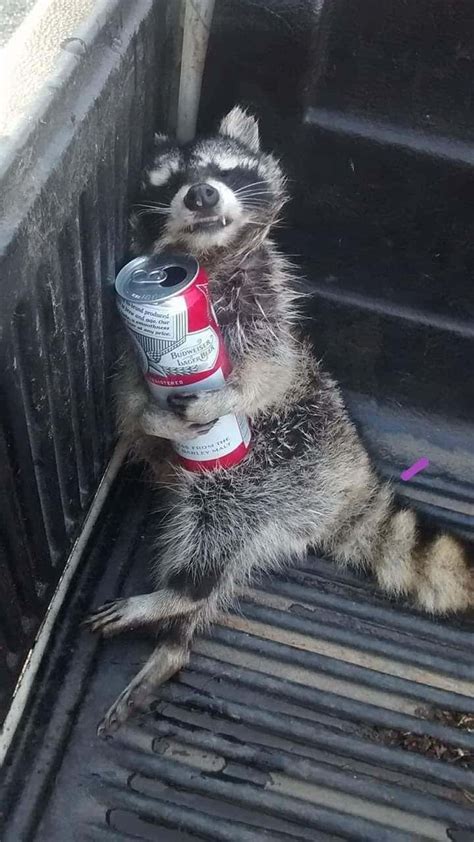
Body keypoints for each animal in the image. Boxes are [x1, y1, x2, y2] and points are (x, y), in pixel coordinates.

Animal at [84, 106, 470, 736]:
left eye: (222, 170)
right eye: (169, 183)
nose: (199, 193)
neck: (208, 260)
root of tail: (353, 477)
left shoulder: (265, 313)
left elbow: (267, 374)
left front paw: (222, 398)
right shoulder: (130, 343)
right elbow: (129, 395)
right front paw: (153, 416)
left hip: (281, 467)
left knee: (216, 528)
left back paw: (179, 597)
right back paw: (175, 640)